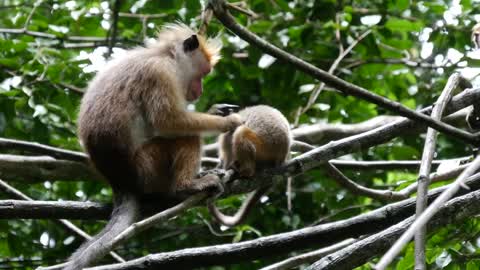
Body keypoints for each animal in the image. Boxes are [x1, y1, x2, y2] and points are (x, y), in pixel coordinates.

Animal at [66, 23, 242, 270]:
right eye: (203, 74)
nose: (199, 91)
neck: (164, 55)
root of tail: (122, 182)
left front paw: (217, 111)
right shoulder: (160, 74)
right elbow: (169, 122)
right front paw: (228, 122)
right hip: (149, 168)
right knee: (186, 136)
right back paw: (186, 185)